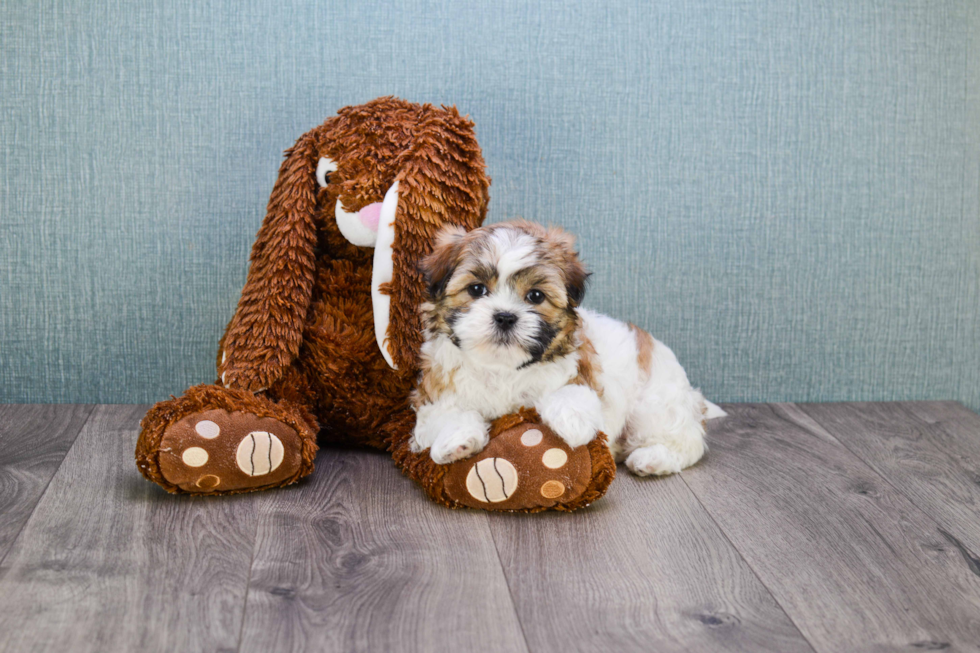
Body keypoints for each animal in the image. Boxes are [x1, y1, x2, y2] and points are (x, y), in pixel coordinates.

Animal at [410, 219, 724, 474]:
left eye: (535, 296)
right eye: (476, 289)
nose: (505, 316)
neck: (502, 367)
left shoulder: (580, 370)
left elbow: (569, 393)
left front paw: (573, 423)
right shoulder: (434, 393)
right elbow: (446, 414)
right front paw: (456, 441)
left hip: (656, 403)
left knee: (687, 441)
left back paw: (652, 459)